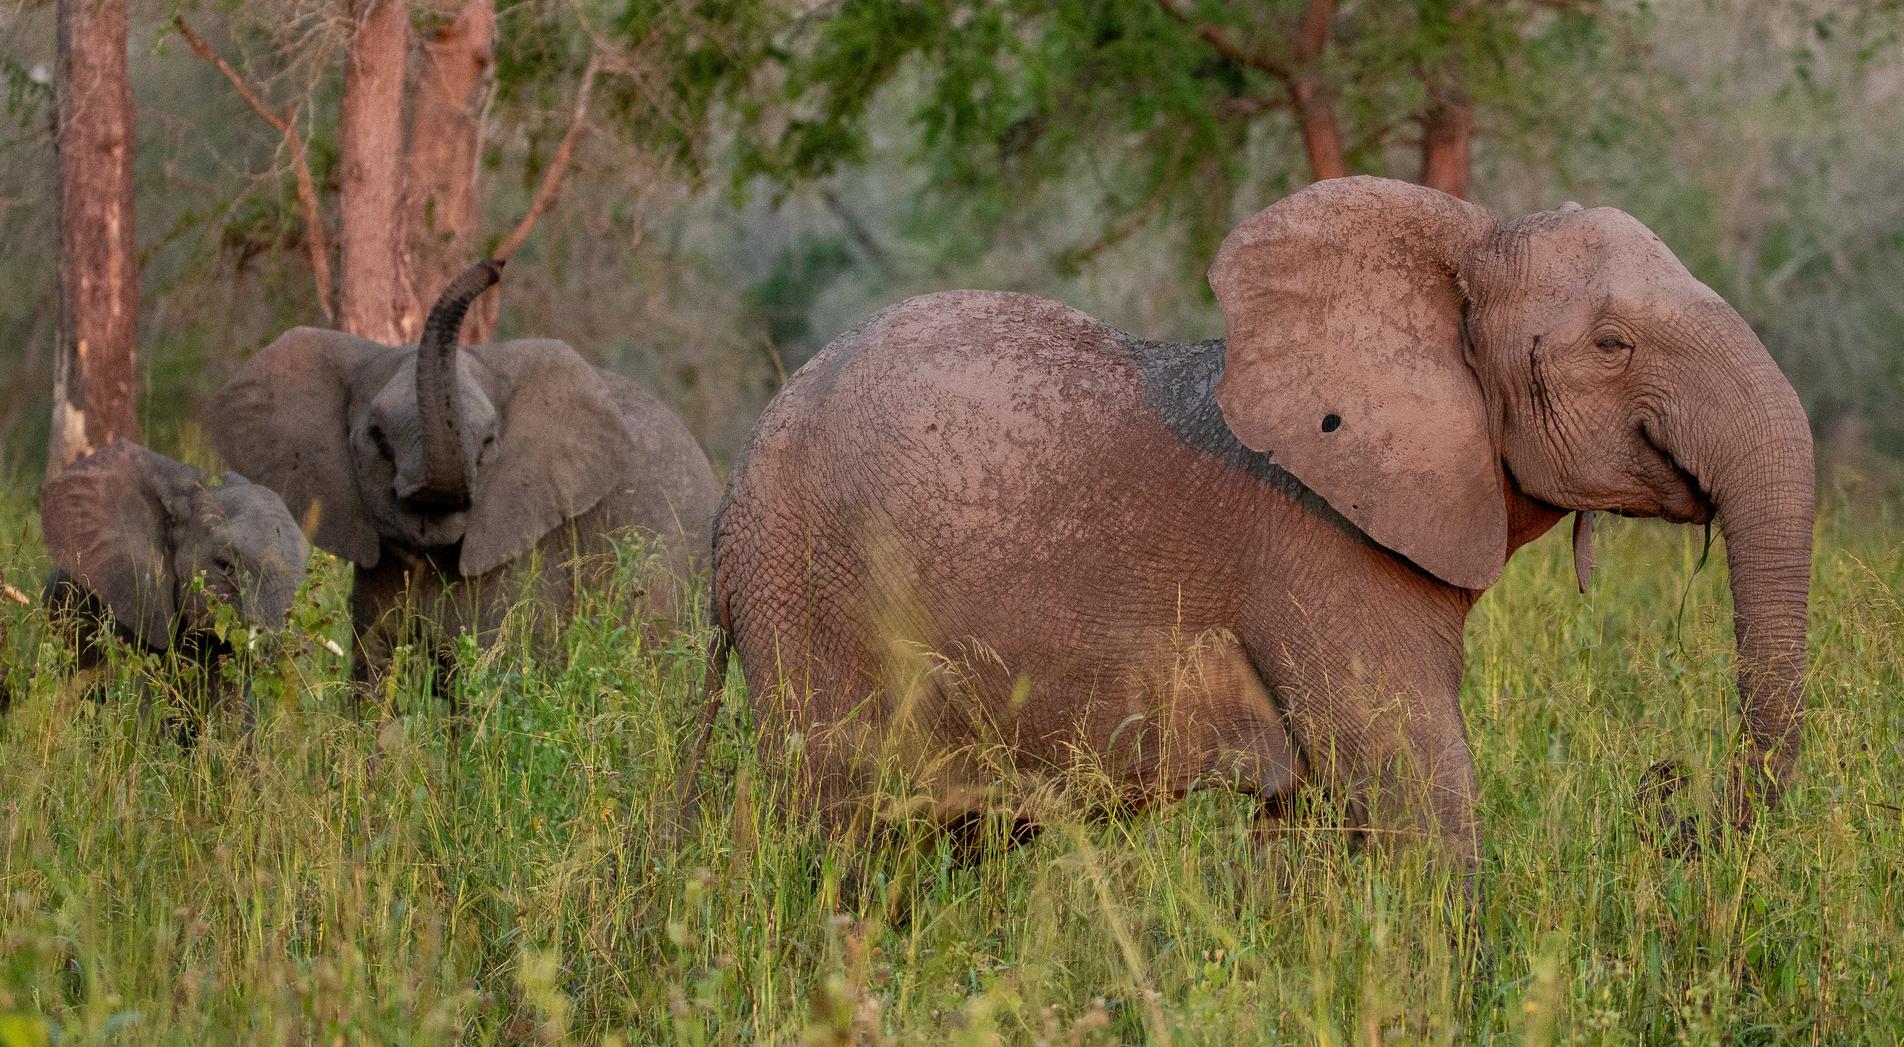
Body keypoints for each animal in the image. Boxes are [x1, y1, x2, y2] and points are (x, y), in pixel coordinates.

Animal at [211, 260, 722, 691]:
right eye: (377, 438)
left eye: (489, 443)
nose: (494, 266)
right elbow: (372, 678)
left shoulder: (528, 552)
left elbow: (487, 685)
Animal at [703, 176, 1814, 866]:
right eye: (1612, 344)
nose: (1671, 799)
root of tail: (739, 478)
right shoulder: (1315, 553)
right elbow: (1418, 796)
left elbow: (1310, 828)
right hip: (811, 597)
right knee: (841, 835)